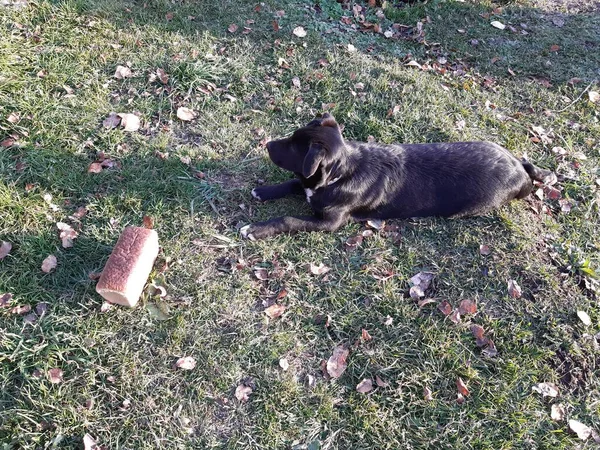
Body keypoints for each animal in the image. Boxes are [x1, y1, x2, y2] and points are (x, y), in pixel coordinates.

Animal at [240, 114, 556, 241]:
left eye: (295, 148)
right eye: (292, 137)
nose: (267, 145)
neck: (342, 173)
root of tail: (519, 168)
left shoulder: (330, 224)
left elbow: (289, 219)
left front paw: (257, 229)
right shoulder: (309, 184)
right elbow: (295, 182)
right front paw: (264, 191)